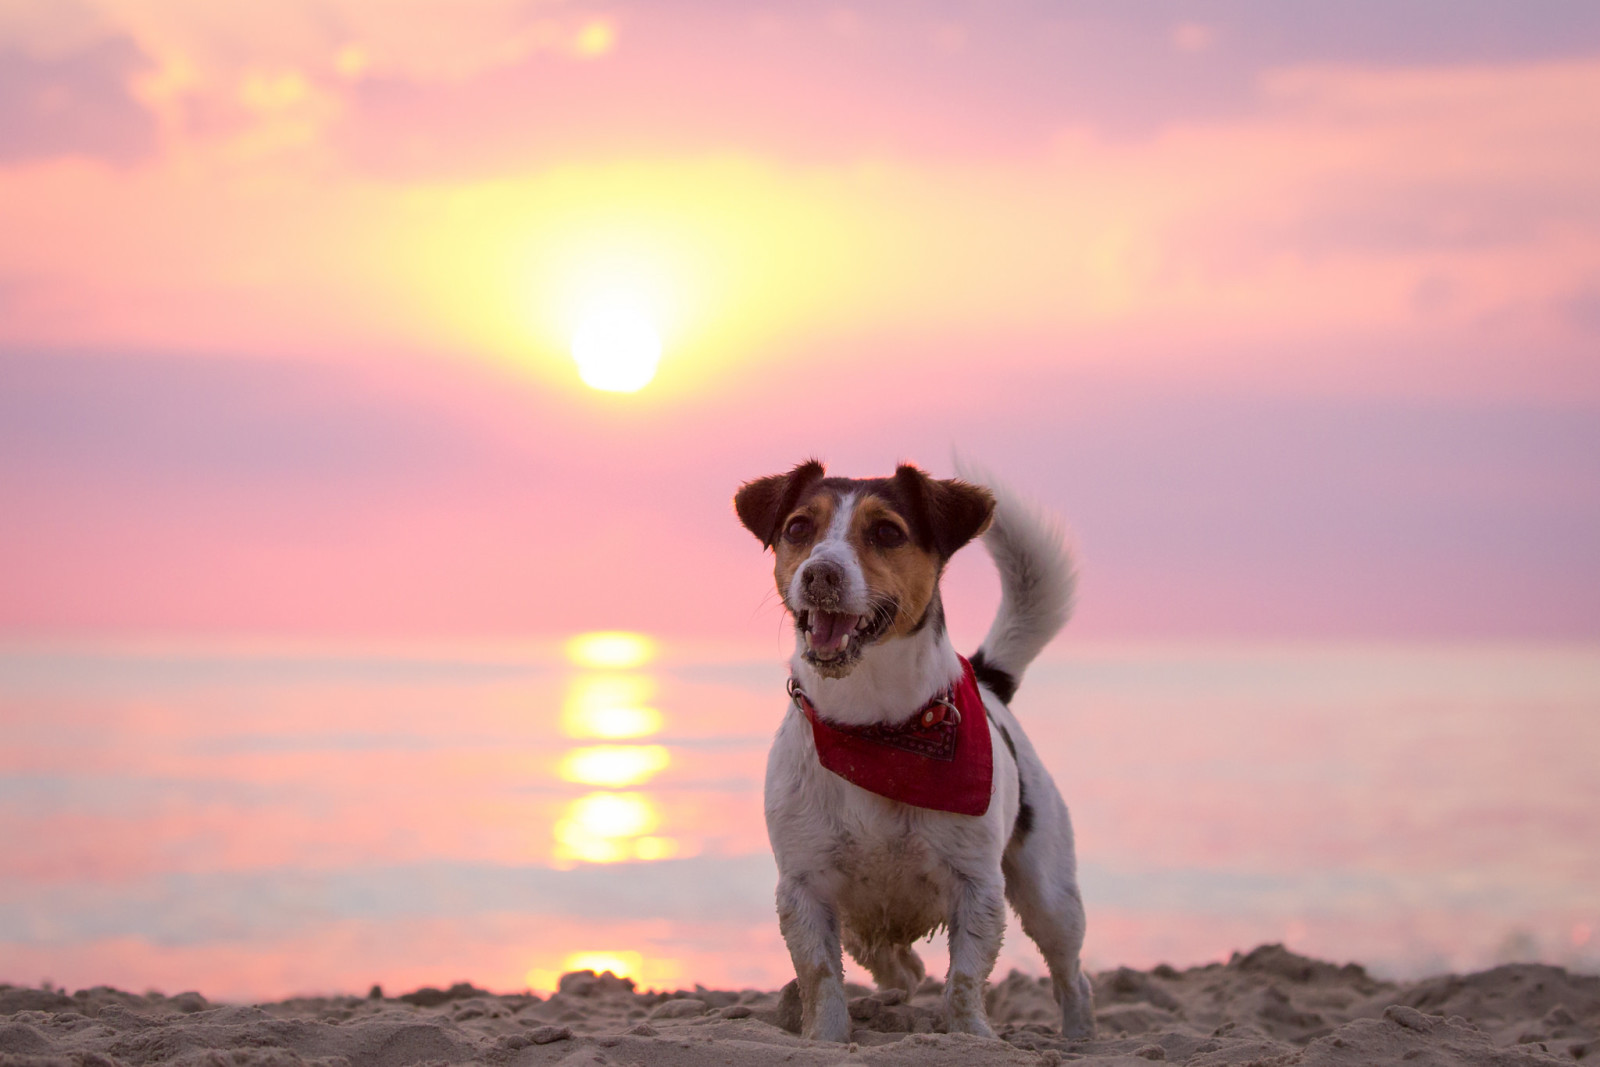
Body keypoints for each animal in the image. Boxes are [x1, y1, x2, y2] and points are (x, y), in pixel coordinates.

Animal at [732, 460, 1088, 1043]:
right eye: (798, 528)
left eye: (887, 532)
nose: (819, 575)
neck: (873, 731)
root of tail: (987, 681)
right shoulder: (803, 889)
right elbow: (821, 978)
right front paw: (826, 1038)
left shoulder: (977, 887)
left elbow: (964, 982)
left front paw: (972, 1038)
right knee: (894, 961)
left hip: (1050, 895)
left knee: (1073, 977)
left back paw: (1081, 1037)